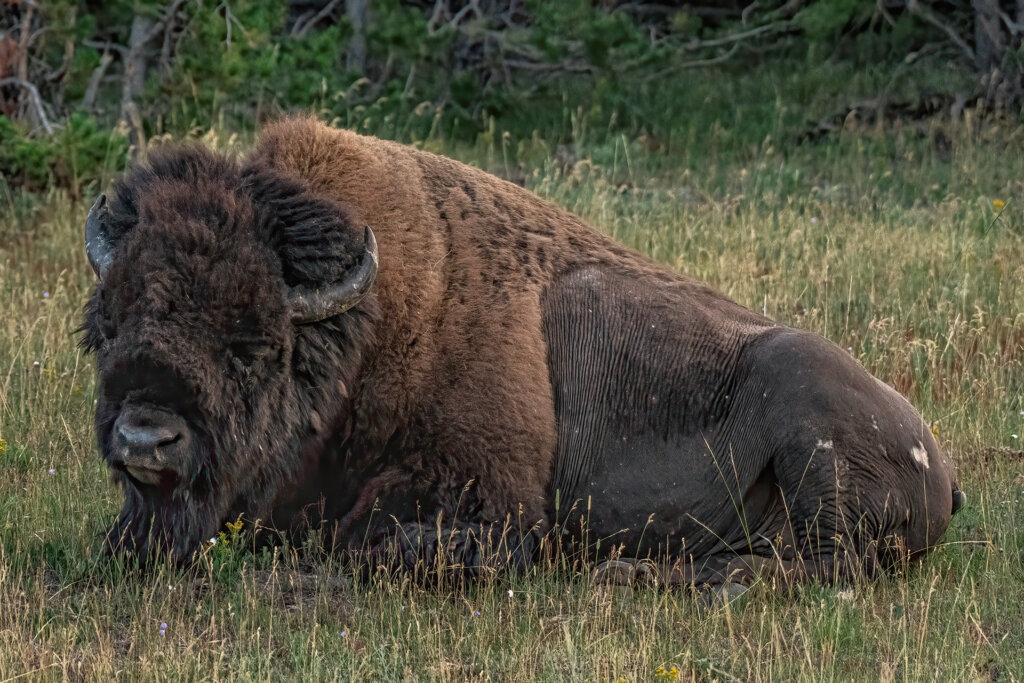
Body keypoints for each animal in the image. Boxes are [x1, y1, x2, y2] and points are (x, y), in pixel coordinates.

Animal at [83, 117, 962, 589]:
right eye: (112, 323)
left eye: (253, 344)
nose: (145, 437)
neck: (372, 325)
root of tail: (943, 466)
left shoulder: (495, 507)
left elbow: (386, 544)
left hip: (809, 423)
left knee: (815, 565)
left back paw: (653, 573)